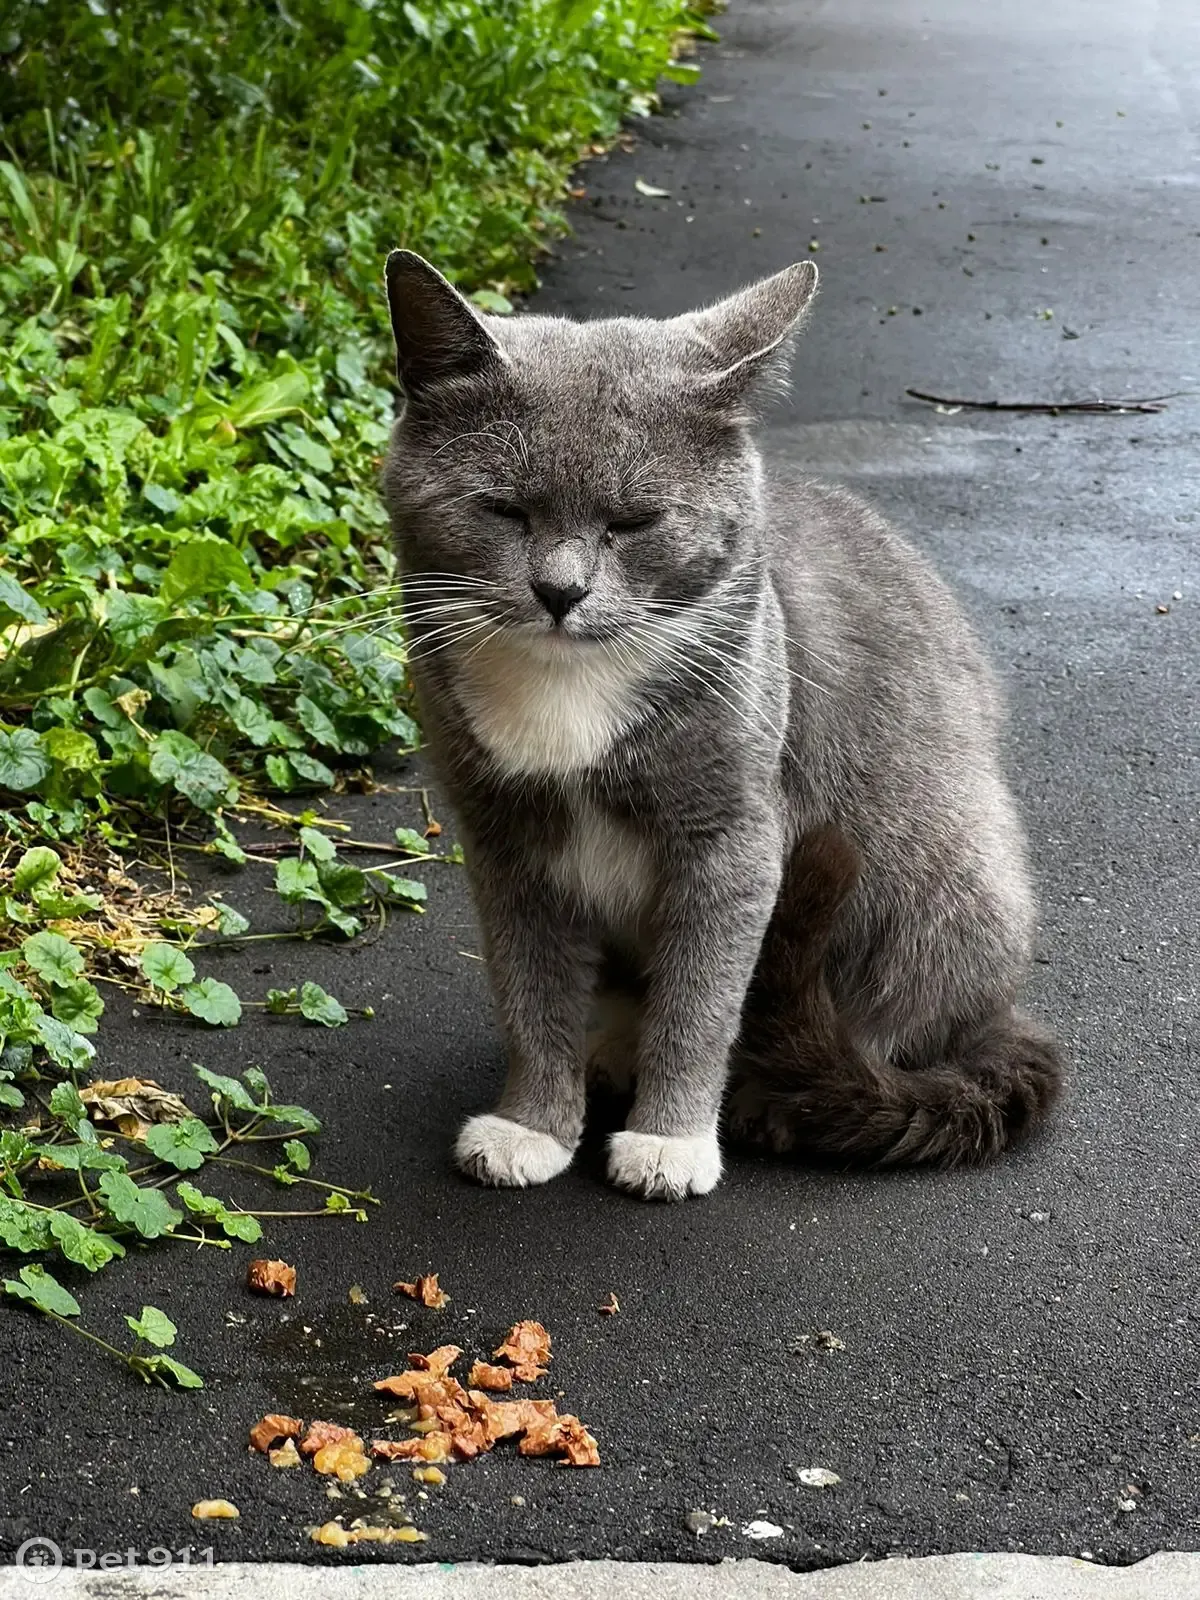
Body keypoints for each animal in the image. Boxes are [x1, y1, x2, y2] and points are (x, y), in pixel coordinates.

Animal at [382, 249, 1062, 1203]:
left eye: (635, 521)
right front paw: (533, 1126)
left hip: (937, 872)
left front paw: (670, 1142)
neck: (567, 690)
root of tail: (1003, 1015)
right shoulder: (503, 840)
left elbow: (701, 999)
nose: (559, 592)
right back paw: (612, 1052)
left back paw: (776, 1095)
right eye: (503, 510)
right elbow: (529, 988)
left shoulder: (735, 836)